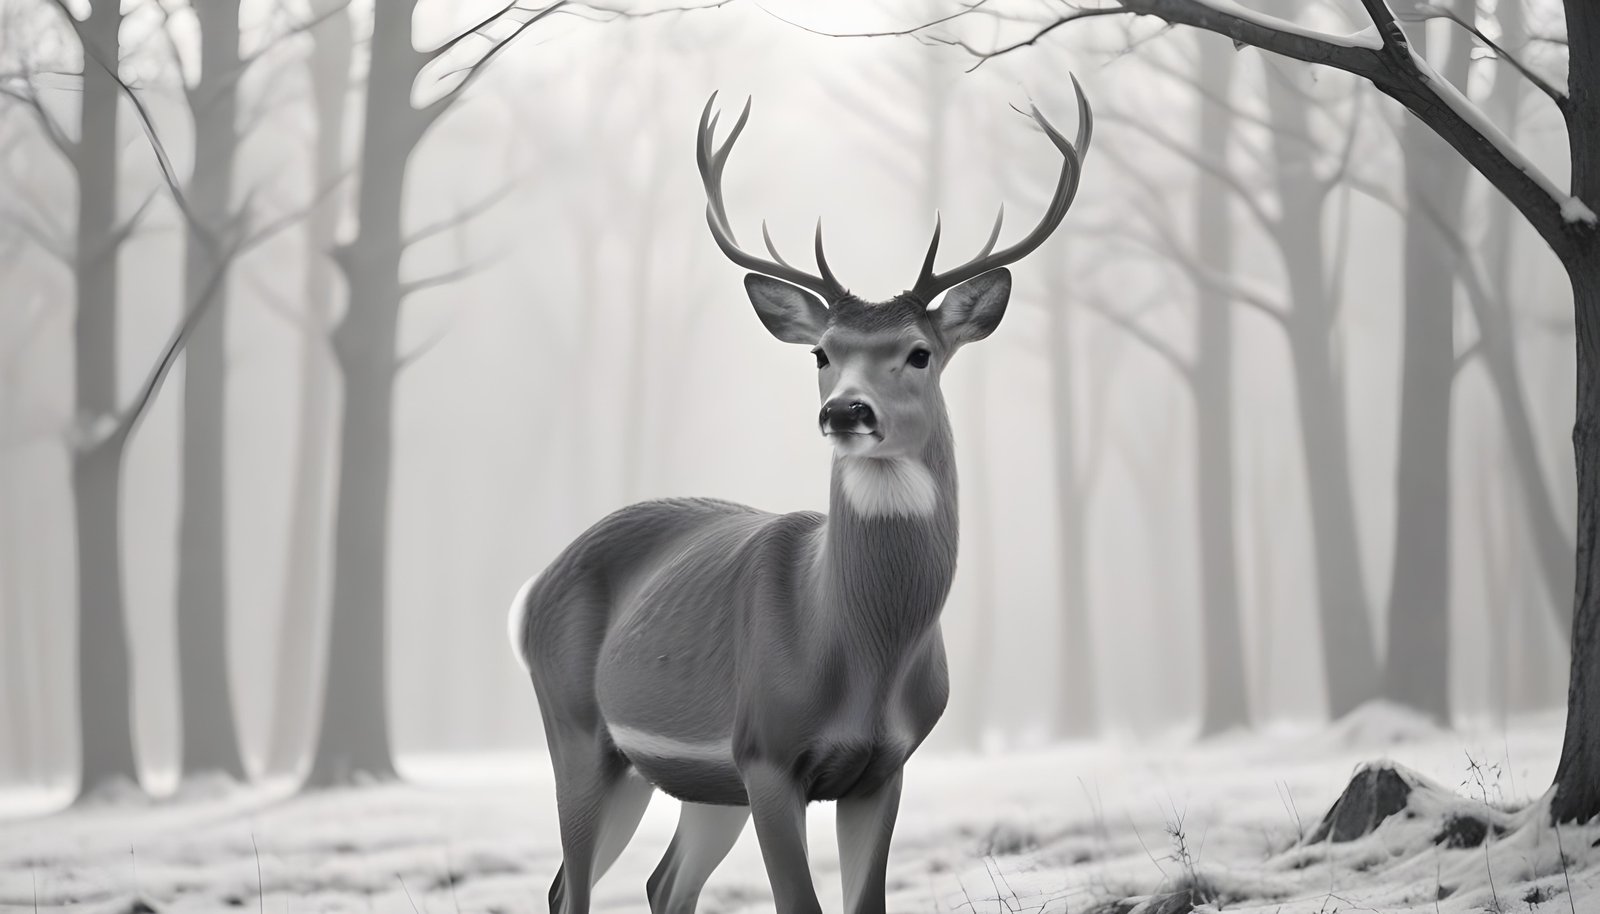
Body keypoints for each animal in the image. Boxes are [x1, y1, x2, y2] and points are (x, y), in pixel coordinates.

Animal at [507, 80, 1092, 914]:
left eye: (920, 353)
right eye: (822, 353)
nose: (846, 411)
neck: (855, 647)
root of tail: (534, 590)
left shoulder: (883, 768)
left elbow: (865, 902)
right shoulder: (767, 755)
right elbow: (799, 903)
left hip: (692, 780)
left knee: (658, 882)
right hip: (579, 728)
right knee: (572, 889)